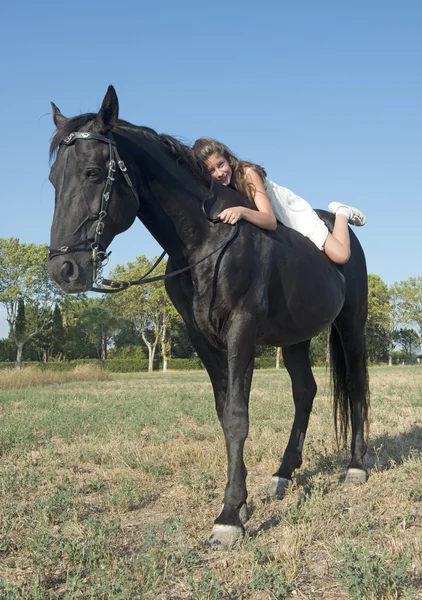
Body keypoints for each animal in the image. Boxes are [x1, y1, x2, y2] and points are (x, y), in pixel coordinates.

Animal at [47, 86, 370, 552]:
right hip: (295, 338)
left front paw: (229, 518)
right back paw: (283, 473)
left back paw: (357, 466)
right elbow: (223, 413)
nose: (63, 270)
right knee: (305, 392)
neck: (207, 239)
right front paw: (243, 501)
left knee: (357, 384)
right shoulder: (201, 337)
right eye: (54, 179)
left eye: (92, 172)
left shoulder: (241, 330)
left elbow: (237, 416)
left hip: (351, 324)